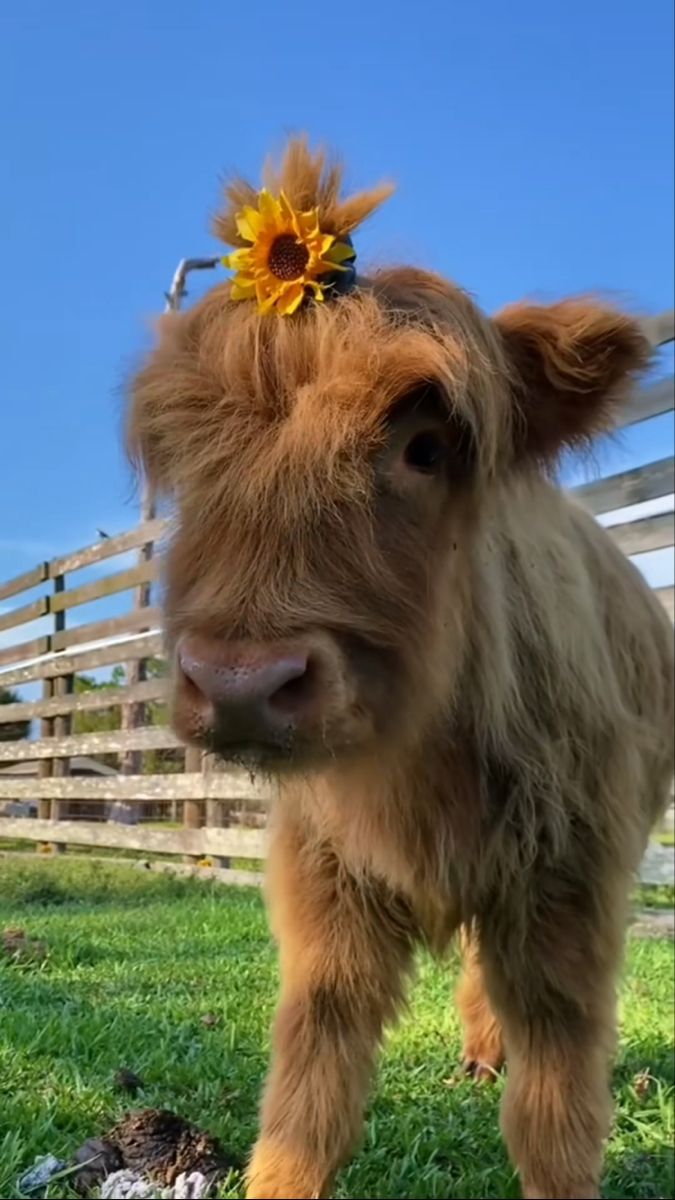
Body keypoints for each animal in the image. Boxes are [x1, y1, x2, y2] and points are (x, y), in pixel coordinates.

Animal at [127, 142, 672, 1200]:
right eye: (189, 453)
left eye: (425, 447)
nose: (240, 682)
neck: (417, 776)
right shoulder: (323, 877)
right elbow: (311, 1081)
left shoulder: (567, 884)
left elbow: (554, 1107)